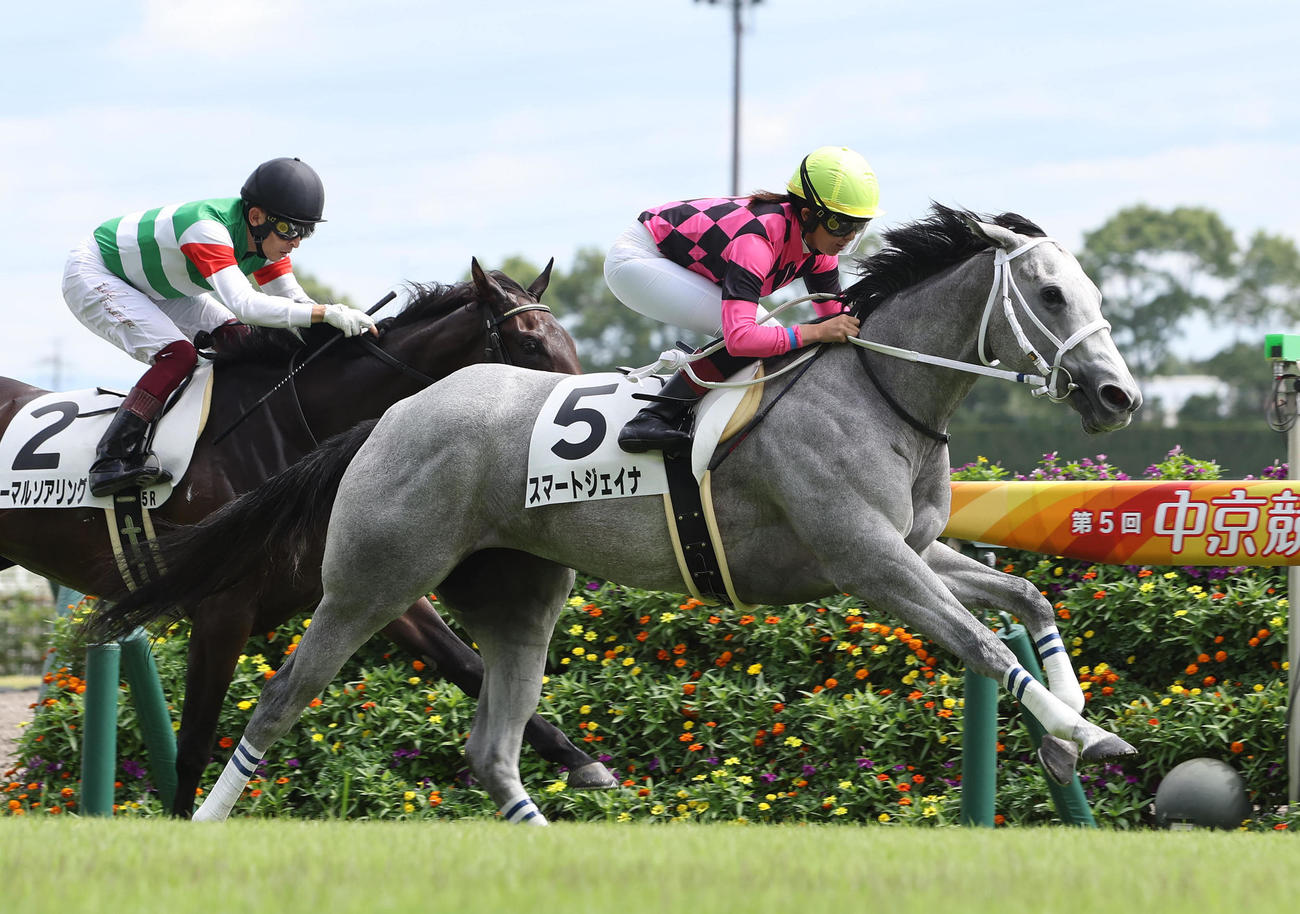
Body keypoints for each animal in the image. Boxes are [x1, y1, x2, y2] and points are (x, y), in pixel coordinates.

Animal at [3, 258, 619, 816]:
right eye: (530, 344)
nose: (580, 414)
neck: (288, 427)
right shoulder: (223, 608)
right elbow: (194, 744)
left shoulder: (367, 585)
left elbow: (466, 665)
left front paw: (583, 762)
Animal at [92, 205, 1144, 824]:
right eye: (1052, 293)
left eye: (1093, 289)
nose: (1118, 395)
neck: (878, 391)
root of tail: (390, 417)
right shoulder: (868, 558)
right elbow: (982, 641)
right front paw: (1086, 737)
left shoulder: (917, 547)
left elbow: (1028, 601)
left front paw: (1072, 729)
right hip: (370, 583)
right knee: (280, 700)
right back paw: (202, 823)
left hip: (522, 594)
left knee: (492, 751)